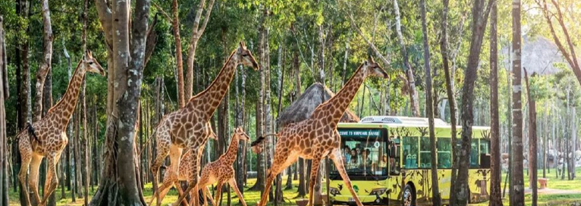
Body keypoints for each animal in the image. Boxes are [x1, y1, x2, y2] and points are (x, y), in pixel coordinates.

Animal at [15, 50, 104, 206]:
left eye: (96, 60)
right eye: (90, 62)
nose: (103, 71)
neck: (63, 122)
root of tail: (19, 137)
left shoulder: (58, 153)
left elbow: (48, 182)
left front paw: (42, 203)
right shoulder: (51, 152)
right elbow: (55, 181)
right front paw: (41, 203)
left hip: (37, 156)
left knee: (32, 180)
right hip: (26, 152)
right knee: (21, 176)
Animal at [151, 41, 258, 206]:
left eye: (251, 53)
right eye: (245, 54)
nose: (256, 65)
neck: (207, 110)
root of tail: (157, 128)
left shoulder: (198, 145)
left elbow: (196, 182)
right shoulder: (195, 145)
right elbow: (194, 181)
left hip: (176, 148)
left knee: (173, 174)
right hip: (164, 144)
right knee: (154, 167)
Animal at [249, 56, 386, 206]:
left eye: (378, 64)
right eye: (374, 66)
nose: (386, 74)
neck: (333, 119)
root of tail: (279, 133)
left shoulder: (334, 152)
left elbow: (348, 182)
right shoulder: (318, 151)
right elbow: (312, 182)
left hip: (292, 156)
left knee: (272, 172)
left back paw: (262, 201)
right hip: (282, 152)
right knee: (270, 172)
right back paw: (262, 202)